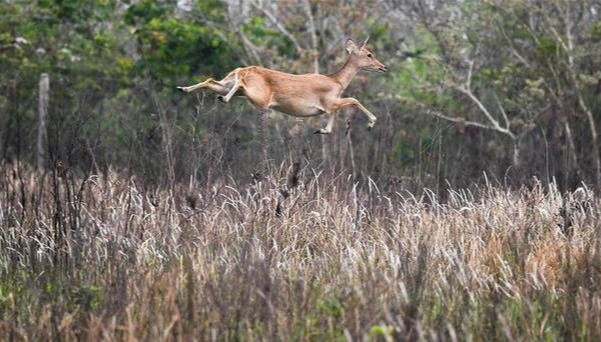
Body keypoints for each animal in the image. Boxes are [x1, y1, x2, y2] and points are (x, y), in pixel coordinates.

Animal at [176, 37, 386, 134]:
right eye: (369, 54)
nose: (383, 67)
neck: (337, 81)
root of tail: (242, 69)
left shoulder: (330, 105)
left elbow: (334, 119)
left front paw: (322, 130)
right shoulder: (330, 101)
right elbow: (354, 99)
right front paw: (371, 123)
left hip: (229, 84)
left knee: (211, 80)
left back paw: (183, 88)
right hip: (259, 96)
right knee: (239, 82)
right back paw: (223, 99)